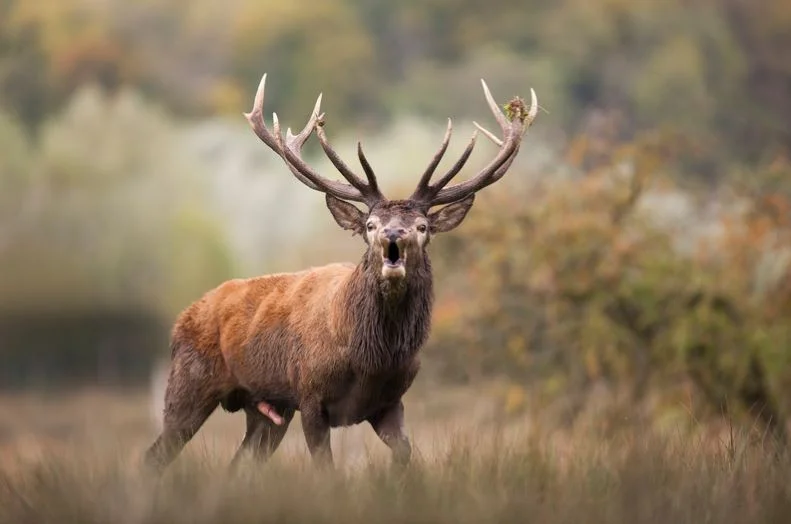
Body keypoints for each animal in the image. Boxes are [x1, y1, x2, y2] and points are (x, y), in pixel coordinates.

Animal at [143, 72, 538, 473]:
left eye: (423, 226)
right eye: (370, 225)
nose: (393, 235)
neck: (371, 360)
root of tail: (184, 317)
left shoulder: (390, 402)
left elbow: (406, 456)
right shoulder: (310, 396)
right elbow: (326, 471)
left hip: (267, 411)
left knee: (236, 464)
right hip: (190, 383)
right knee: (155, 454)